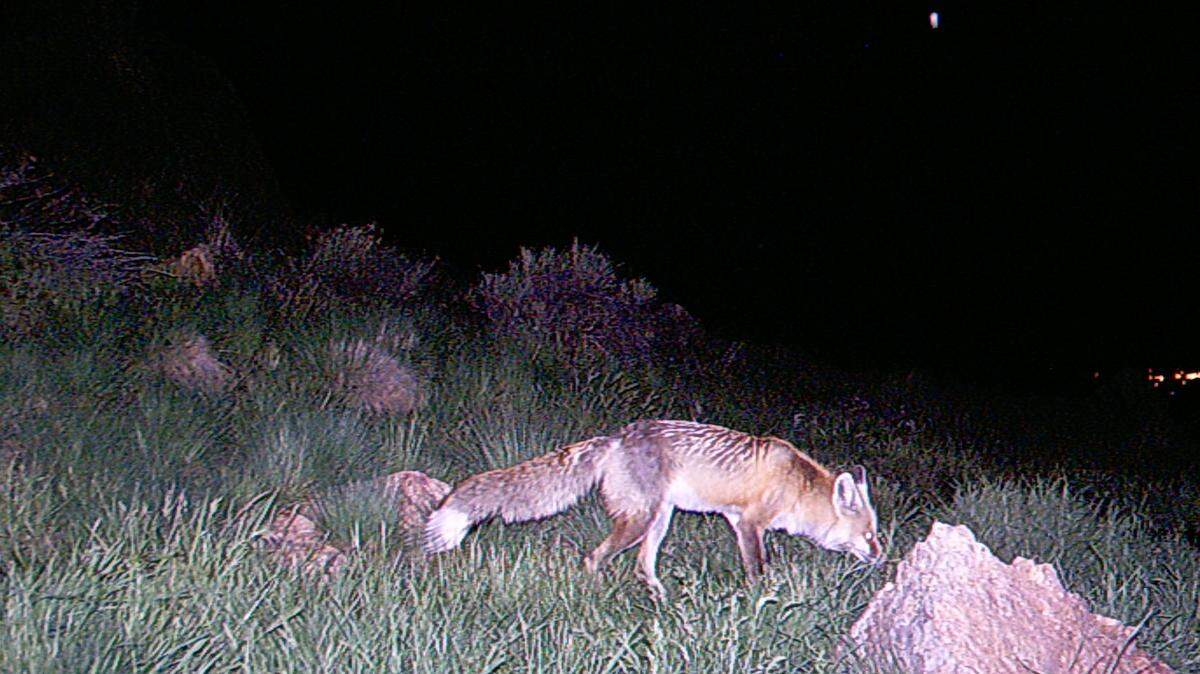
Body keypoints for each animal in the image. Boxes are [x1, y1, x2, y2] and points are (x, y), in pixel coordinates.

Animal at [424, 420, 884, 598]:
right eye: (870, 535)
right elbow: (758, 570)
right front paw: (761, 599)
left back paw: (662, 599)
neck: (797, 486)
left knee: (641, 566)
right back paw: (597, 593)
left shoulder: (739, 522)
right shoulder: (749, 524)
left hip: (659, 520)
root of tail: (616, 436)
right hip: (640, 521)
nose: (883, 558)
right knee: (594, 558)